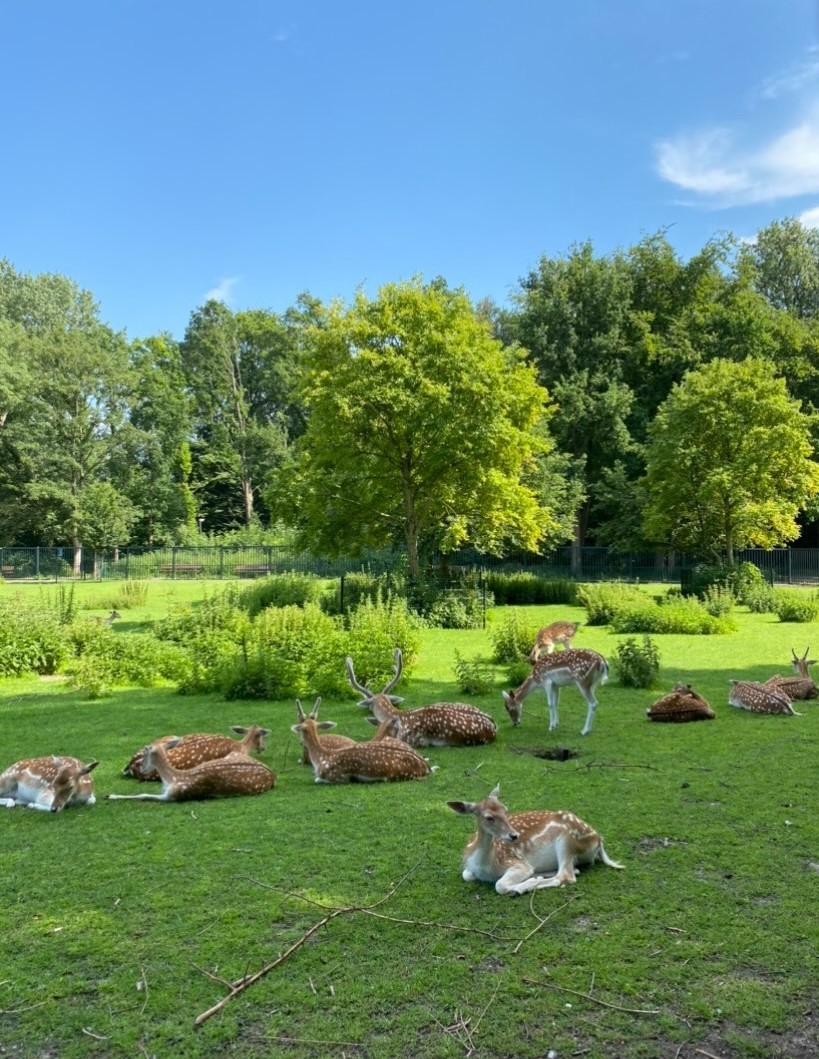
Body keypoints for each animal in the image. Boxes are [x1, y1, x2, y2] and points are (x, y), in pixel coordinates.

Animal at [107, 737, 275, 800]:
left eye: (146, 753)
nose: (141, 770)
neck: (172, 778)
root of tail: (273, 775)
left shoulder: (175, 795)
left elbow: (144, 795)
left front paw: (111, 796)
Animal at [290, 698, 432, 783]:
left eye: (299, 729)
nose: (301, 743)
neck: (320, 758)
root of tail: (427, 767)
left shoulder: (338, 777)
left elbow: (317, 779)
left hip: (394, 775)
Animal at [444, 783, 622, 898]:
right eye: (489, 817)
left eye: (506, 810)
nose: (514, 836)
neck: (485, 866)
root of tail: (598, 840)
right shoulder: (469, 867)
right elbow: (467, 875)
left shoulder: (517, 863)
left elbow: (499, 885)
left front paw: (521, 886)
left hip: (567, 840)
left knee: (565, 876)